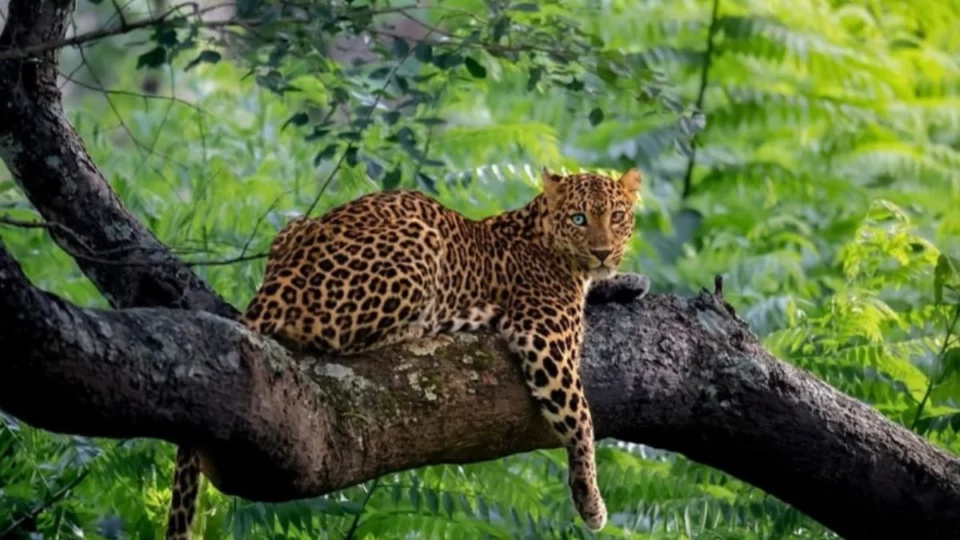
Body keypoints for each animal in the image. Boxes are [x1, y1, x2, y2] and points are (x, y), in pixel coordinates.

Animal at [164, 167, 645, 539]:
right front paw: (591, 502)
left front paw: (629, 280)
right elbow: (580, 419)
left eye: (617, 216)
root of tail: (283, 277)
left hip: (293, 227)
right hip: (419, 246)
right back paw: (432, 323)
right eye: (579, 218)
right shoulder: (544, 337)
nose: (603, 251)